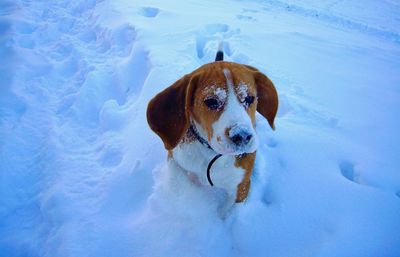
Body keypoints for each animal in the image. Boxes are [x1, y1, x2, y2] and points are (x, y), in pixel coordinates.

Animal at [147, 49, 278, 205]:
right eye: (211, 101)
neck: (211, 154)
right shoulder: (175, 159)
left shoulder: (241, 188)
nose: (242, 136)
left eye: (249, 98)